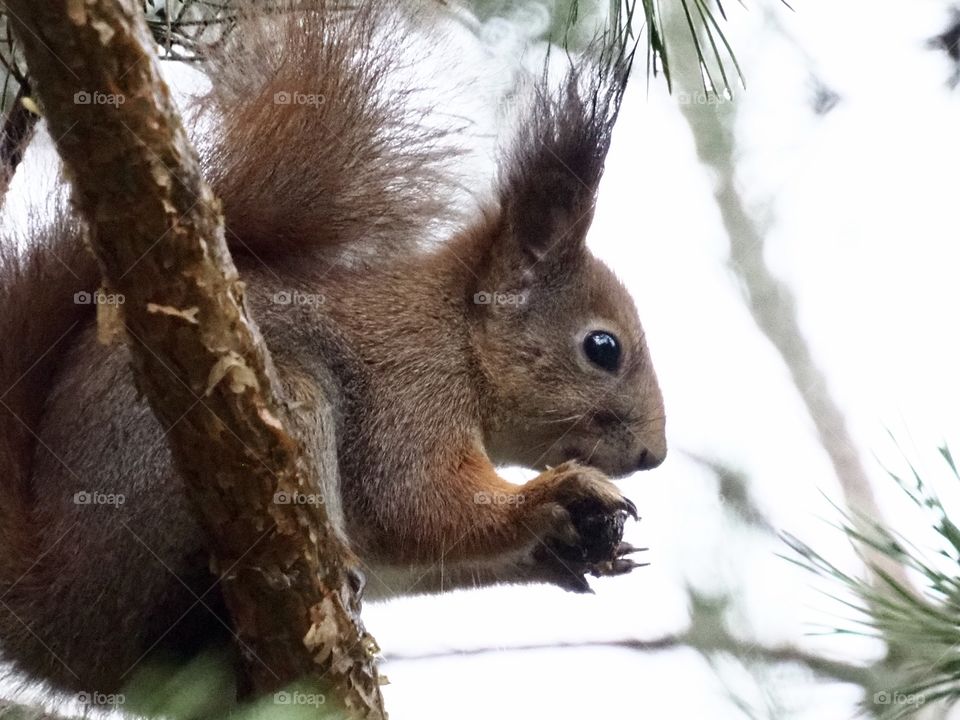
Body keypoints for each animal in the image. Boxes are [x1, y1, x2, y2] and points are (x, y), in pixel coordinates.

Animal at [0, 0, 665, 697]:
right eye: (603, 347)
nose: (654, 454)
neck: (457, 337)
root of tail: (52, 607)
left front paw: (574, 545)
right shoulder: (411, 386)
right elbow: (416, 506)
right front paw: (562, 494)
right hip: (244, 427)